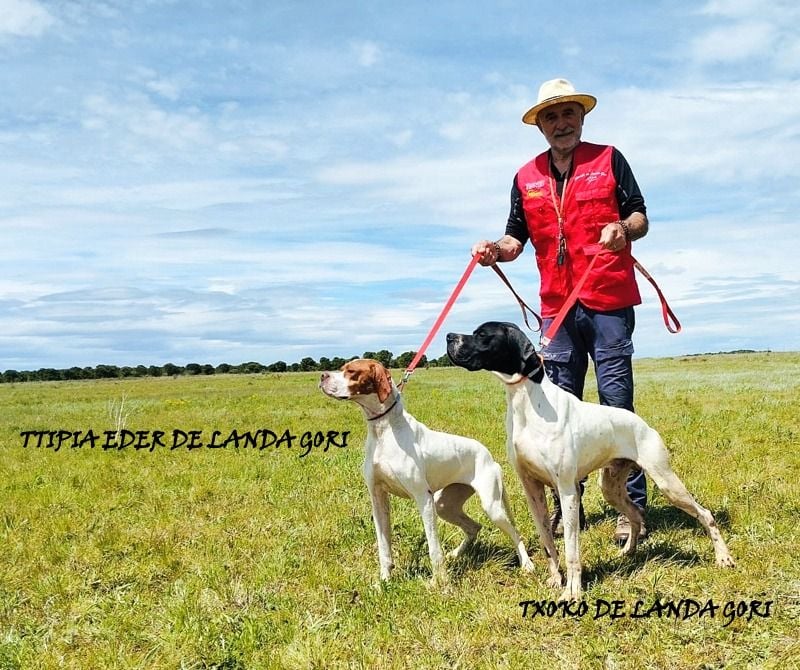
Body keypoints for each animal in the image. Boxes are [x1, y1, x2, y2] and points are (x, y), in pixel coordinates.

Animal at [318, 360, 532, 584]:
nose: (322, 376)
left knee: (515, 533)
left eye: (351, 371)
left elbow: (433, 547)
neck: (384, 430)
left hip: (491, 506)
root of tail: (490, 457)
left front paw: (440, 583)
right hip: (444, 505)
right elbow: (384, 547)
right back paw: (457, 554)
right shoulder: (378, 498)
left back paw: (527, 565)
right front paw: (384, 581)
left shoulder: (423, 497)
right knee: (474, 527)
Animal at [446, 322, 736, 604]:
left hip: (667, 482)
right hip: (611, 487)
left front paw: (573, 592)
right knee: (635, 515)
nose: (449, 336)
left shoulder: (567, 491)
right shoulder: (533, 490)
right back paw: (628, 552)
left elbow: (572, 550)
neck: (528, 403)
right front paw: (555, 580)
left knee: (705, 514)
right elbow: (548, 542)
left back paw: (723, 557)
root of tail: (642, 423)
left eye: (482, 334)